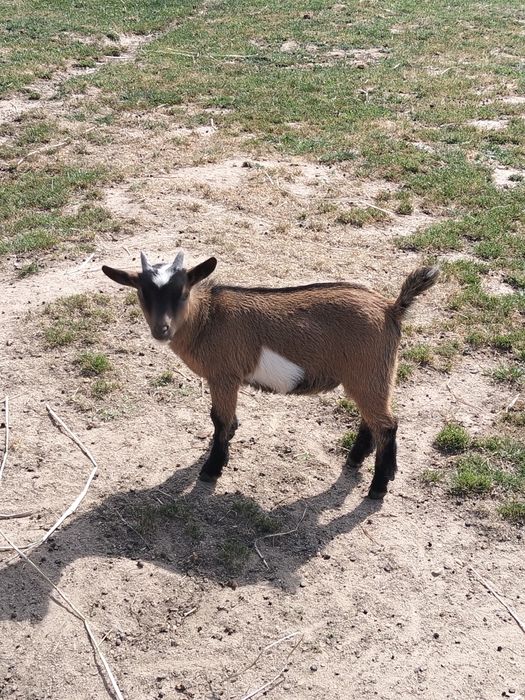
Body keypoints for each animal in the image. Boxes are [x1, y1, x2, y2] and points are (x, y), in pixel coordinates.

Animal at [102, 252, 439, 499]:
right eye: (142, 293)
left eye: (182, 292)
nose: (162, 329)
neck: (207, 319)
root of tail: (391, 308)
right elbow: (227, 420)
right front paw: (226, 444)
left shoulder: (223, 375)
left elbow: (219, 419)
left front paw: (212, 468)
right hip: (367, 376)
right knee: (373, 418)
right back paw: (356, 459)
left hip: (371, 371)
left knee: (388, 424)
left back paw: (378, 487)